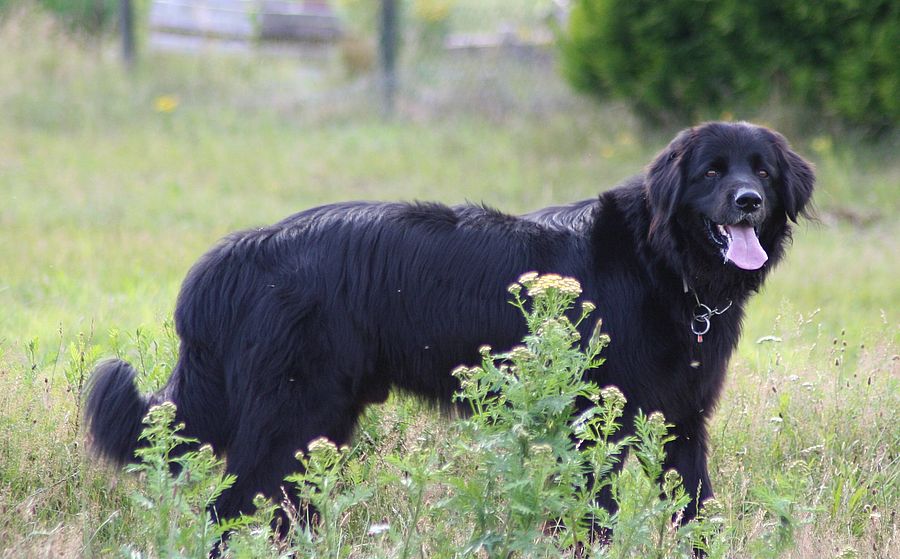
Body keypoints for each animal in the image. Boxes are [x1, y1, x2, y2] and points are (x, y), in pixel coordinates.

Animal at [85, 121, 814, 527]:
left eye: (762, 171)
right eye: (711, 171)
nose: (748, 202)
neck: (664, 264)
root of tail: (234, 254)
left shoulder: (682, 425)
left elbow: (699, 517)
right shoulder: (591, 434)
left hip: (318, 423)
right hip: (290, 418)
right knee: (233, 509)